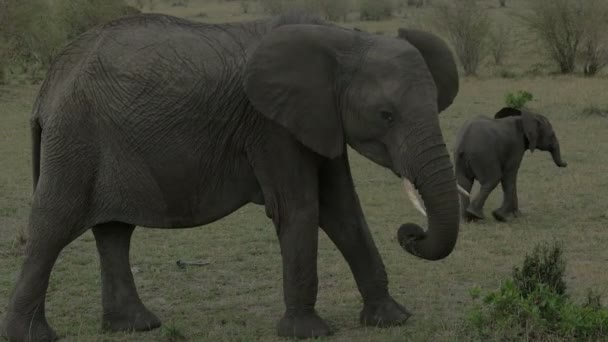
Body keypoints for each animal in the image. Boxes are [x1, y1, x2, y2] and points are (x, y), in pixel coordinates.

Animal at [1, 12, 460, 340]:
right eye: (386, 116)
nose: (411, 233)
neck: (345, 38)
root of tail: (48, 86)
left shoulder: (318, 118)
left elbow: (343, 210)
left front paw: (392, 319)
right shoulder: (270, 126)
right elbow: (299, 209)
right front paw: (307, 333)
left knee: (114, 231)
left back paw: (136, 326)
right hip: (74, 138)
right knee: (53, 226)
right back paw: (33, 335)